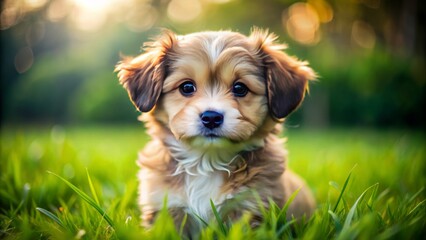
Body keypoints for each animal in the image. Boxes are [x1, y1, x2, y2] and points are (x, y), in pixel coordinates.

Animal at [115, 28, 316, 234]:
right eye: (187, 87)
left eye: (240, 88)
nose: (211, 117)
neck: (207, 161)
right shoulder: (165, 205)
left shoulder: (251, 206)